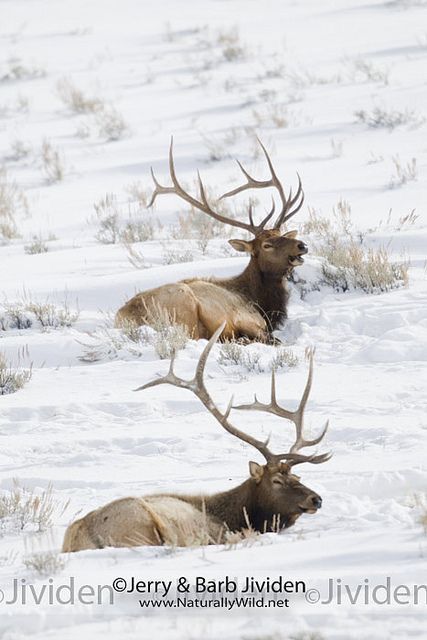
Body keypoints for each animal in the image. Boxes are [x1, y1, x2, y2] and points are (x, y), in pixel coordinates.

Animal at [62, 322, 332, 552]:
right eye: (276, 480)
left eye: (297, 476)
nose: (316, 498)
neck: (233, 516)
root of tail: (81, 536)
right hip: (140, 524)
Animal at [115, 138, 310, 342]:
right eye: (267, 245)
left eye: (283, 234)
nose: (301, 245)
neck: (260, 302)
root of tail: (127, 318)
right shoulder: (248, 319)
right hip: (185, 307)